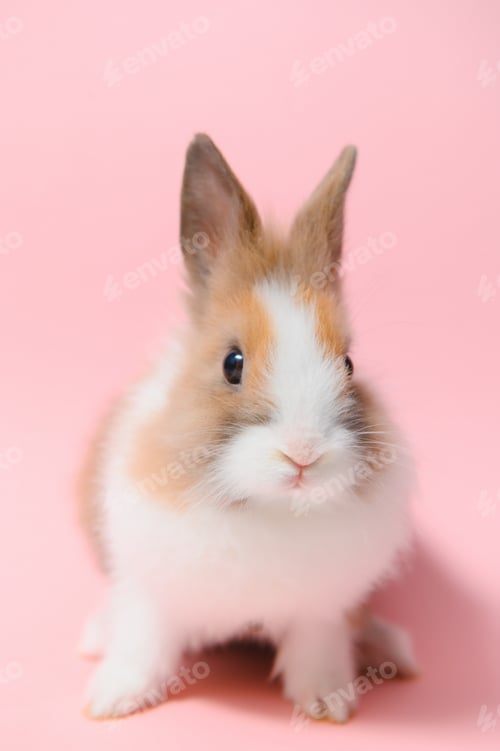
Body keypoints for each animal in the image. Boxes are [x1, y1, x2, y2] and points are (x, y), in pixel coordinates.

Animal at [79, 133, 418, 722]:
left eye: (349, 364)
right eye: (231, 363)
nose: (303, 454)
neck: (271, 509)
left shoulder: (324, 610)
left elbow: (319, 646)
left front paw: (328, 702)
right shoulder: (151, 590)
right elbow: (143, 641)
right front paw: (113, 699)